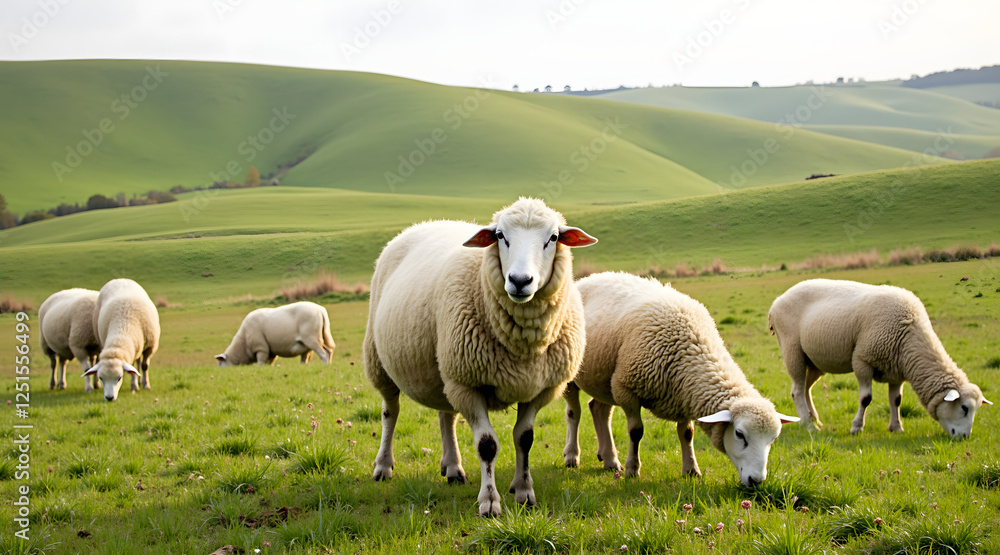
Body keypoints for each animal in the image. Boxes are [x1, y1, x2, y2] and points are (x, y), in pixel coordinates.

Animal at [364, 197, 597, 517]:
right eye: (500, 236)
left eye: (553, 238)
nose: (520, 280)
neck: (522, 341)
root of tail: (427, 223)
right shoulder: (468, 384)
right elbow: (487, 445)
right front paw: (489, 502)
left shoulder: (539, 389)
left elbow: (524, 439)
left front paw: (524, 492)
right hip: (383, 362)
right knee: (390, 412)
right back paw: (383, 467)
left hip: (445, 371)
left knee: (446, 417)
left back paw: (452, 468)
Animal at [563, 272, 798, 487]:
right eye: (739, 434)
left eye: (772, 439)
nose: (756, 481)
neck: (693, 345)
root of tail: (588, 278)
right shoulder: (626, 388)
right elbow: (636, 432)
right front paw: (632, 469)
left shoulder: (683, 395)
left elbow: (687, 434)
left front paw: (691, 470)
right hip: (576, 375)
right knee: (575, 413)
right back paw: (572, 456)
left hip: (604, 378)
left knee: (599, 410)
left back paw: (609, 459)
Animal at [768, 279, 992, 438]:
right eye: (964, 408)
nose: (965, 437)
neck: (909, 334)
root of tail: (776, 302)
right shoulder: (862, 360)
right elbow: (866, 399)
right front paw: (856, 427)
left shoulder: (896, 370)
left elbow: (896, 400)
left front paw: (896, 427)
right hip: (792, 349)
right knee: (797, 391)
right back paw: (808, 425)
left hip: (814, 361)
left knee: (806, 387)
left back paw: (814, 419)